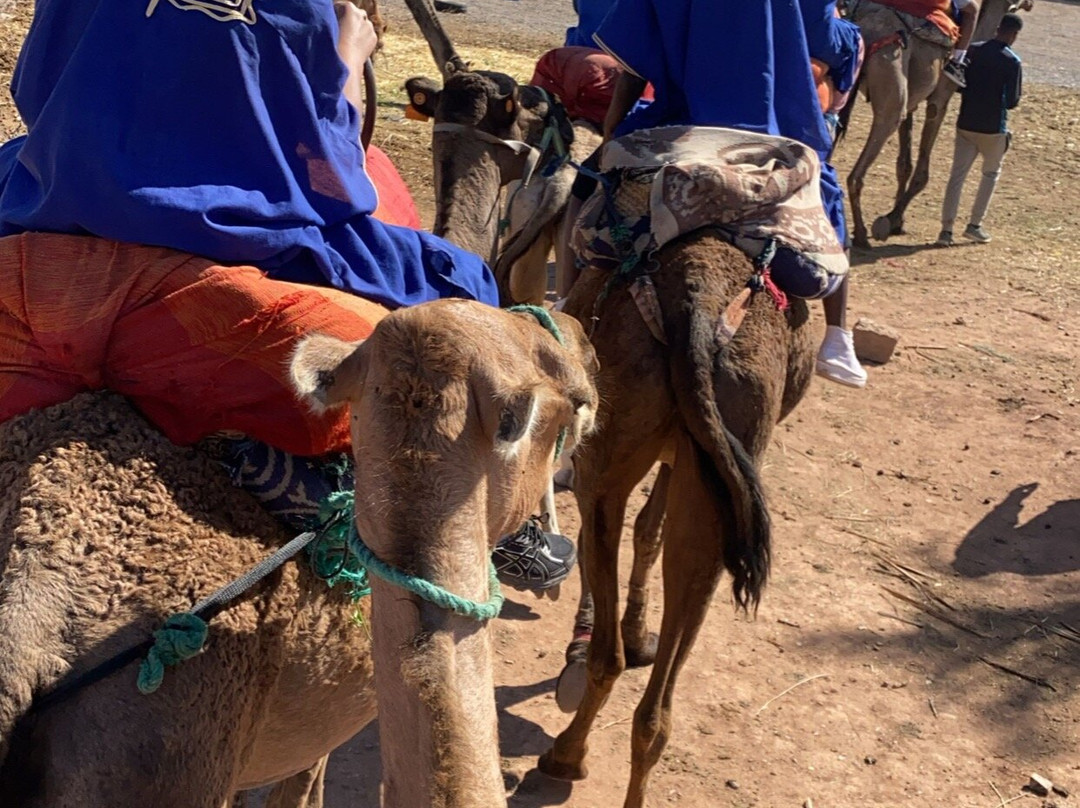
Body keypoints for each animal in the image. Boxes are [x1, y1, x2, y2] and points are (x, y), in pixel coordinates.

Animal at [406, 67, 816, 803]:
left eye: (521, 126)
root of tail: (698, 298)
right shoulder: (693, 450)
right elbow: (651, 531)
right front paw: (636, 625)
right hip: (722, 437)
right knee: (658, 684)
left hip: (634, 444)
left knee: (617, 646)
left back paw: (567, 751)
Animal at [838, 0, 1032, 246]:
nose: (1029, 4)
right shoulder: (940, 99)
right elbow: (921, 174)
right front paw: (890, 220)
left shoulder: (912, 100)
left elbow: (904, 165)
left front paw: (898, 223)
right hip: (891, 77)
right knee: (861, 166)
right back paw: (861, 234)